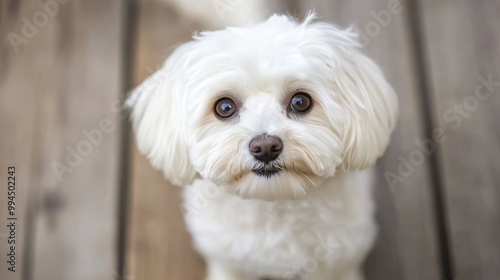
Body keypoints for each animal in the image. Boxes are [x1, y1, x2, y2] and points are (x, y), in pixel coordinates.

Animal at [128, 12, 398, 280]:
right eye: (224, 107)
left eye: (300, 101)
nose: (265, 147)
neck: (273, 205)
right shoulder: (229, 262)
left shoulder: (338, 262)